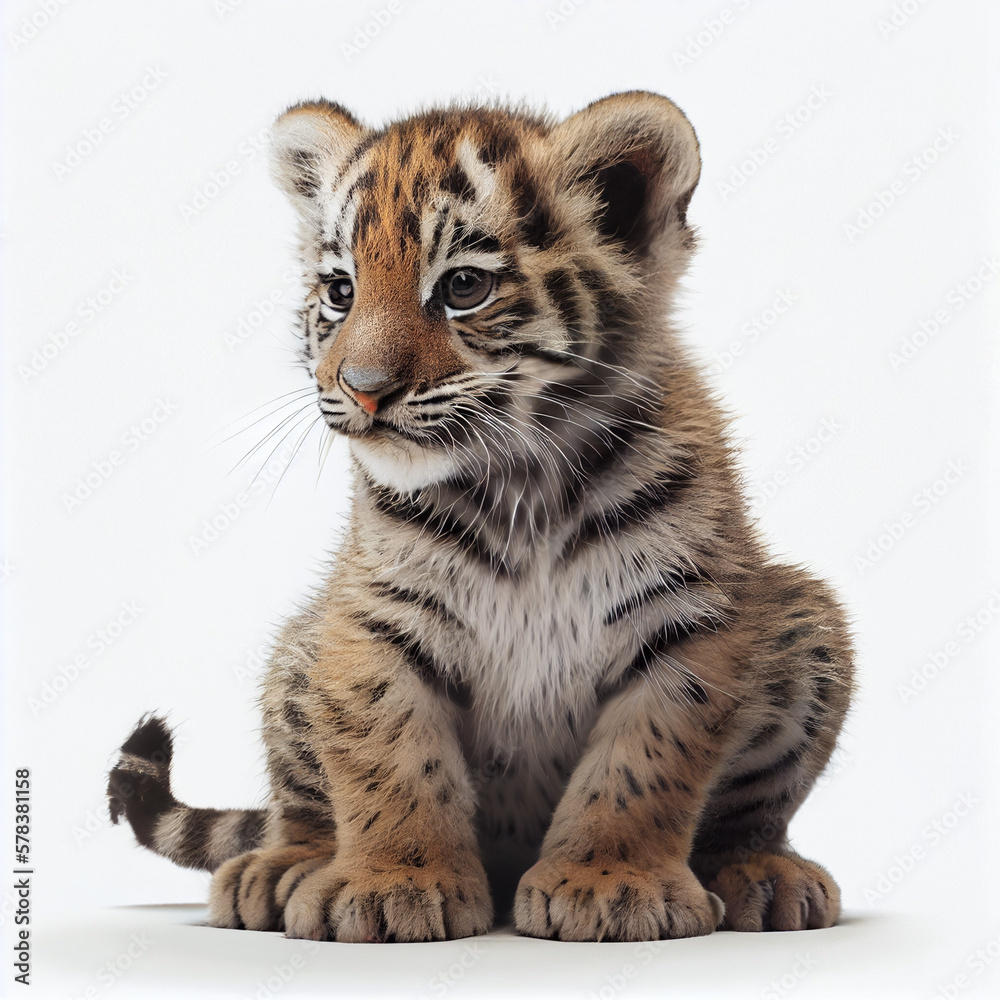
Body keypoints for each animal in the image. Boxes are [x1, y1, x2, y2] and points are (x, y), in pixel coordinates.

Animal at [107, 91, 854, 943]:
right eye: (340, 291)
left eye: (464, 286)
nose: (362, 388)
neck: (521, 484)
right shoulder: (371, 622)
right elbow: (388, 758)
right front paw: (392, 884)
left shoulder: (688, 622)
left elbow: (639, 769)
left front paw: (611, 883)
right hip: (302, 646)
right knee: (300, 810)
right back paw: (282, 870)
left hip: (807, 611)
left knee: (749, 819)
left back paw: (766, 876)